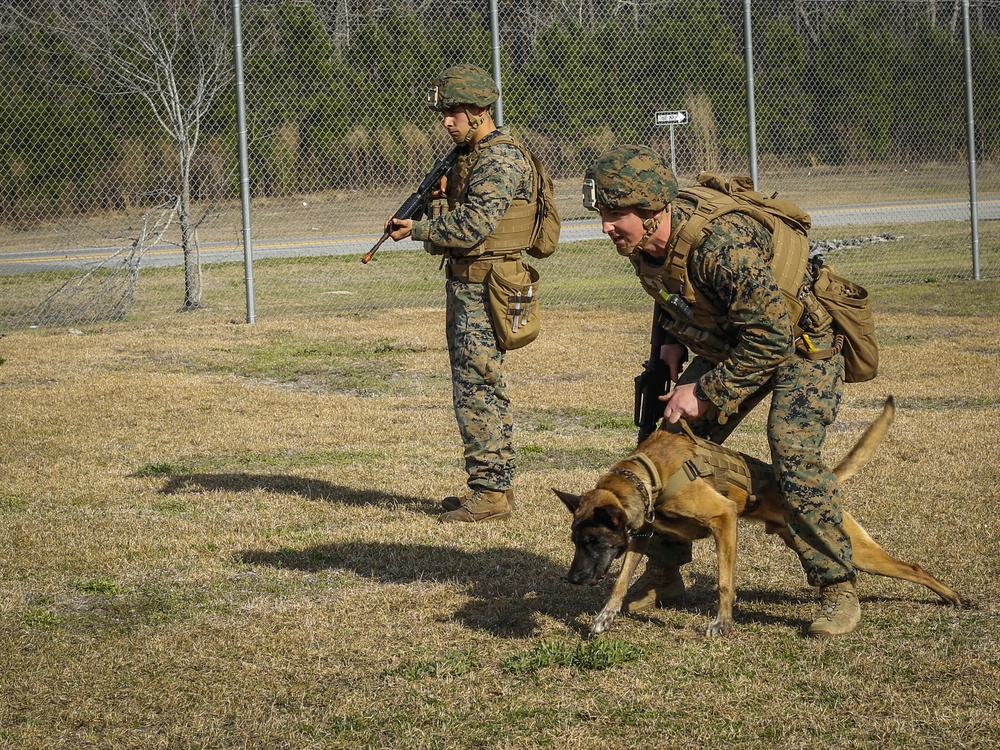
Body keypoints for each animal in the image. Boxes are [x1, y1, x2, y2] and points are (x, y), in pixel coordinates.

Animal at [556, 396, 968, 636]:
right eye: (576, 541)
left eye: (593, 541)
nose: (572, 579)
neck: (650, 476)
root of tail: (826, 480)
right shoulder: (640, 537)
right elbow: (620, 581)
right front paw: (605, 617)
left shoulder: (724, 520)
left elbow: (725, 583)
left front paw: (722, 624)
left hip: (858, 549)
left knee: (912, 567)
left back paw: (953, 597)